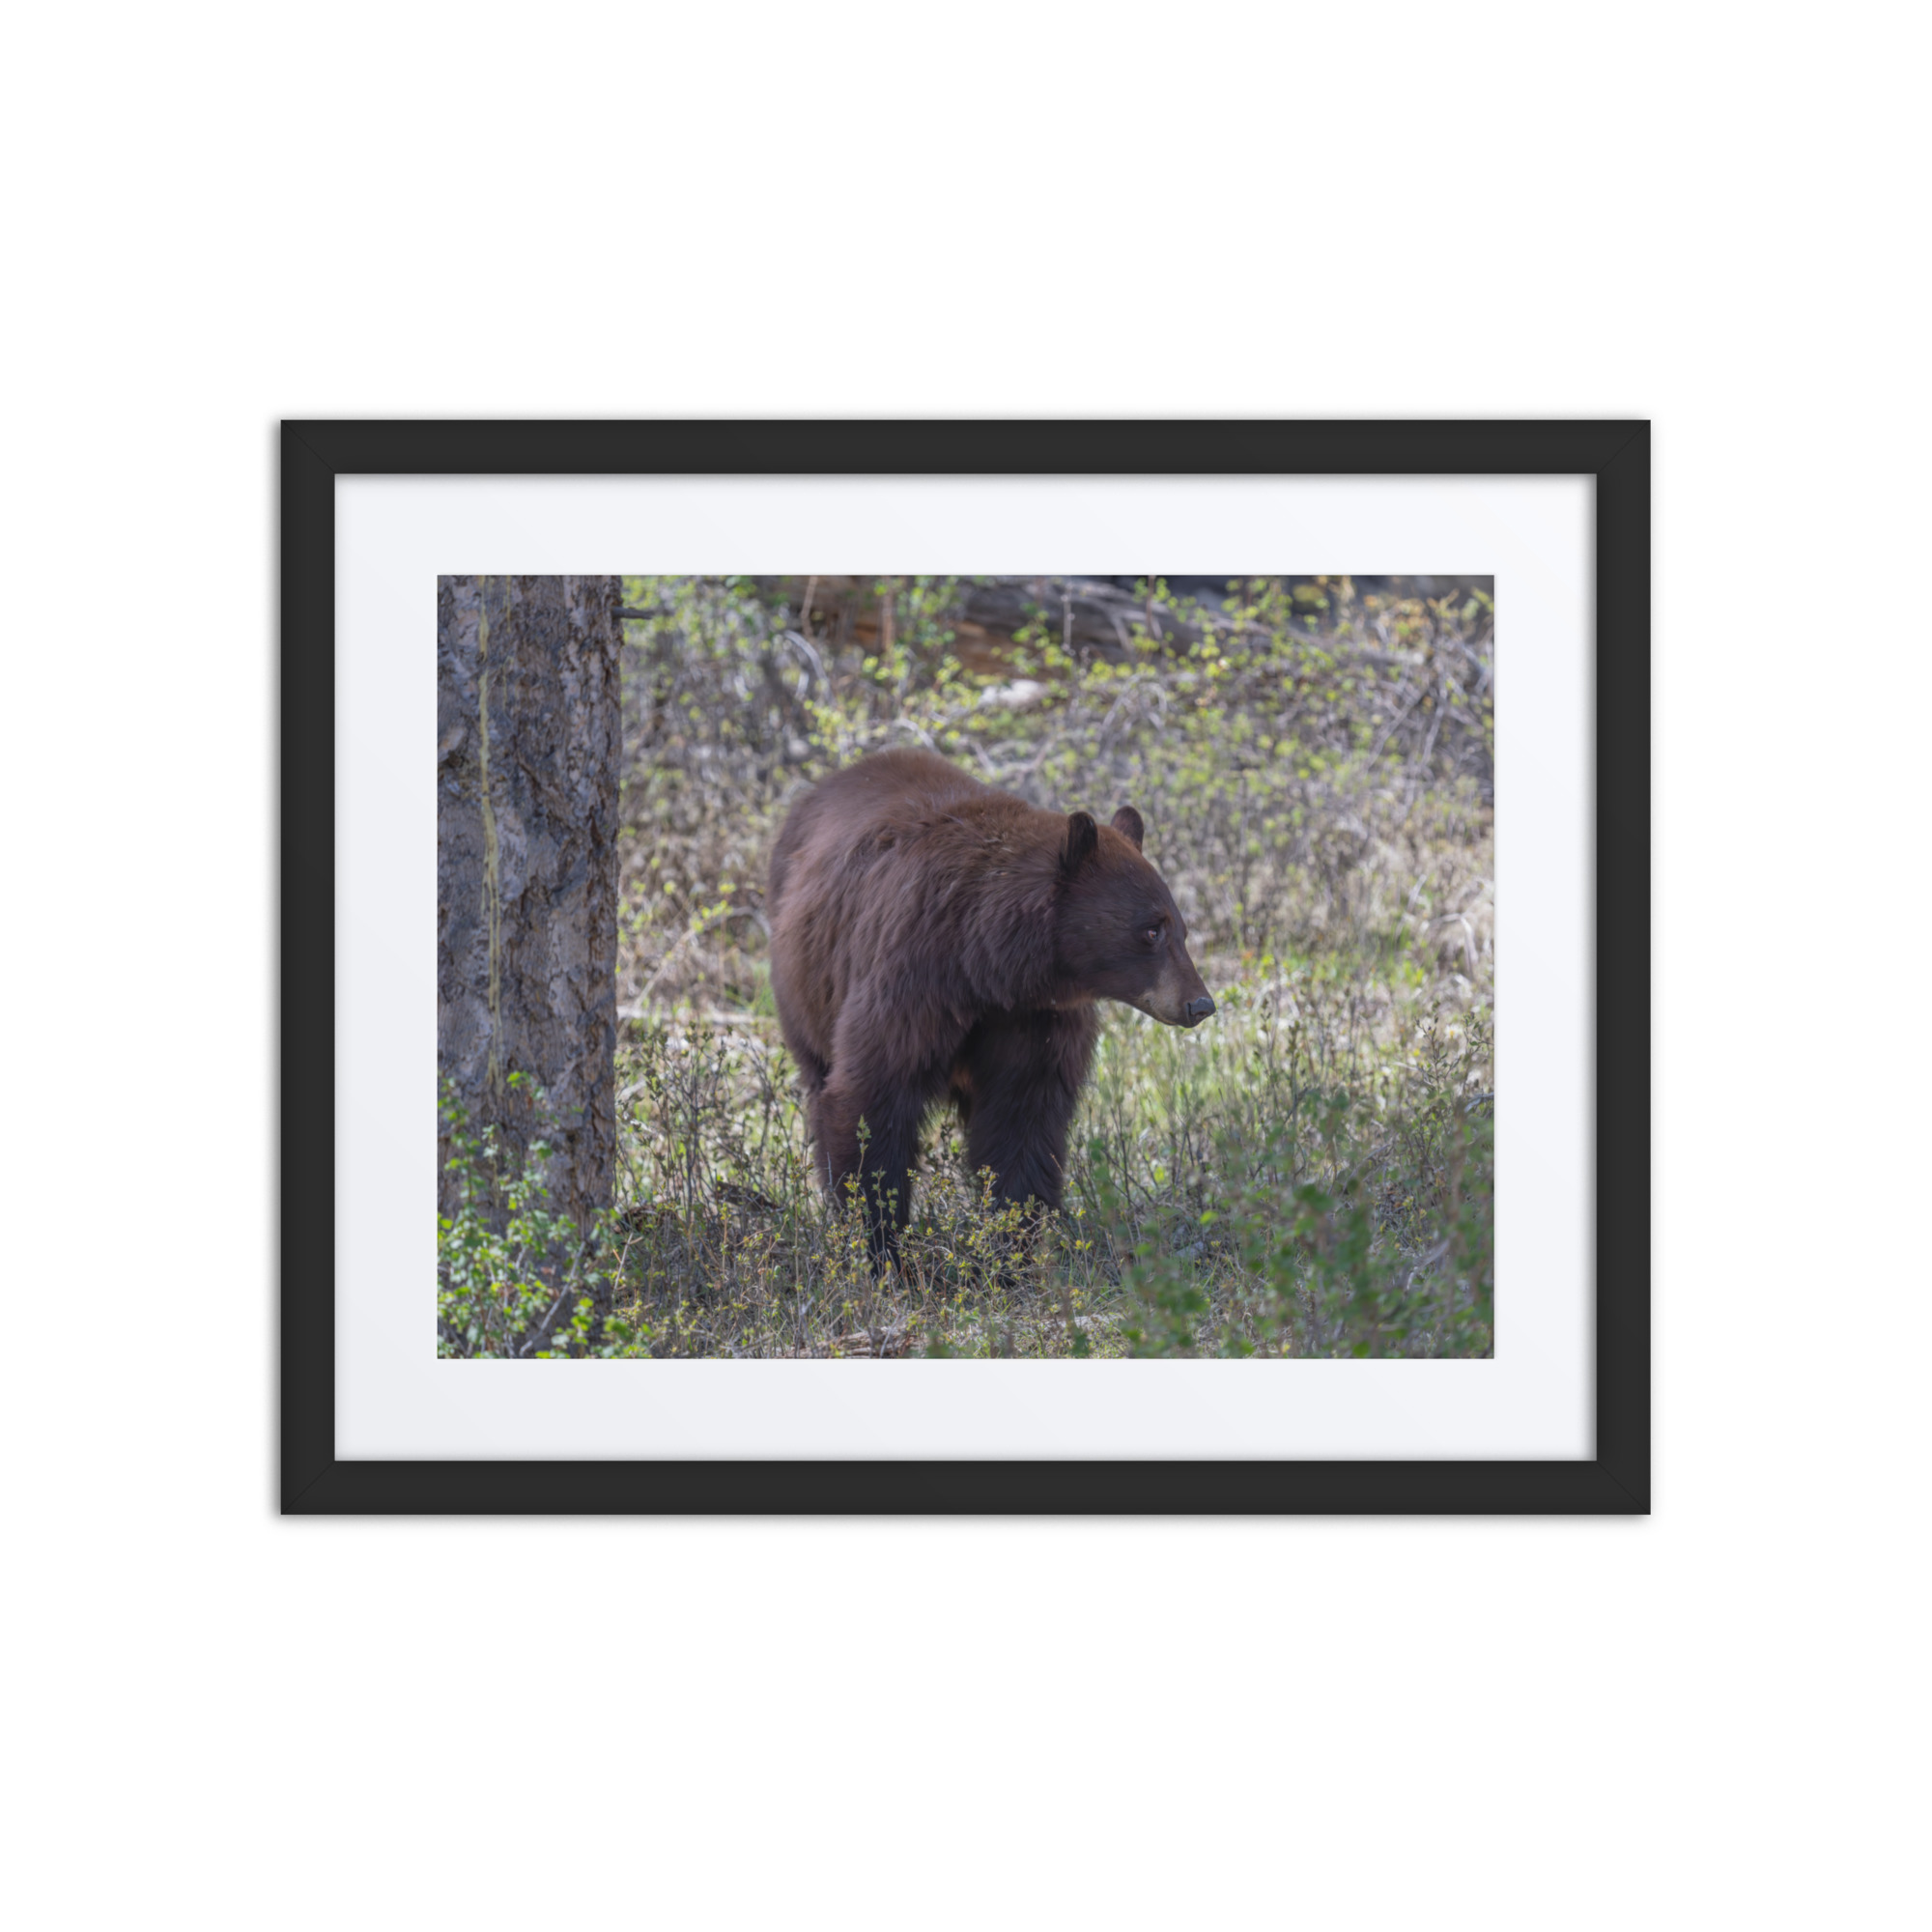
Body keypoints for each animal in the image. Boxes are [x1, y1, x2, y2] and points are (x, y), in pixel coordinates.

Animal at [766, 747, 1214, 1259]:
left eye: (1181, 930)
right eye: (1151, 930)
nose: (1200, 1004)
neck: (986, 965)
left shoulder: (1034, 1018)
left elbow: (1022, 1121)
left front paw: (1009, 1248)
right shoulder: (911, 979)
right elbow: (872, 1099)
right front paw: (882, 1245)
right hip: (805, 988)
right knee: (819, 1077)